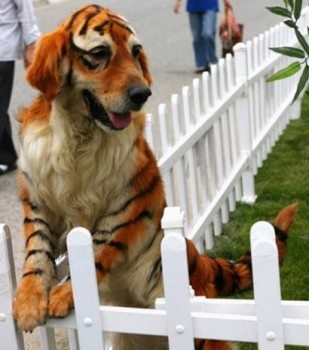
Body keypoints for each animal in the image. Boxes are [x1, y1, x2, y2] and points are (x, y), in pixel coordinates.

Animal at [12, 5, 296, 350]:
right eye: (99, 53)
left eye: (135, 52)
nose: (142, 93)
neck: (80, 137)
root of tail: (197, 257)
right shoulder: (38, 200)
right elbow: (36, 252)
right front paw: (27, 302)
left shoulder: (127, 203)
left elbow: (96, 249)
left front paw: (64, 293)